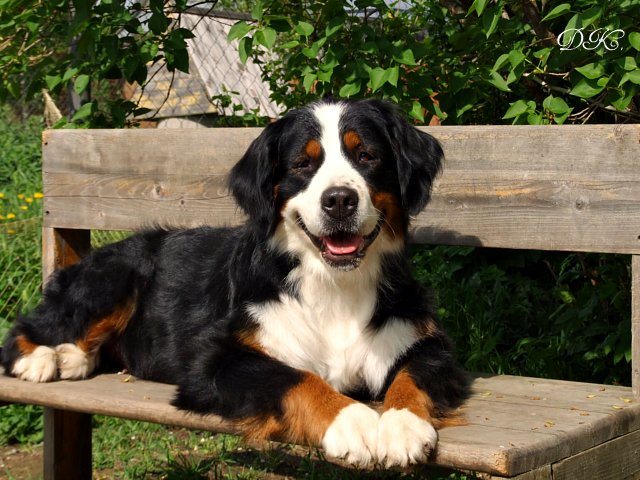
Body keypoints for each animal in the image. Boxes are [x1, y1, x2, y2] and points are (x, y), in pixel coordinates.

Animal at [2, 99, 467, 467]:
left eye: (366, 155)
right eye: (302, 164)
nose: (339, 200)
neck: (333, 286)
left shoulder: (426, 340)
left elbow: (413, 374)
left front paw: (402, 426)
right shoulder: (216, 358)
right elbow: (294, 378)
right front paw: (352, 420)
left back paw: (73, 358)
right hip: (116, 275)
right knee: (27, 329)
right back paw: (42, 359)